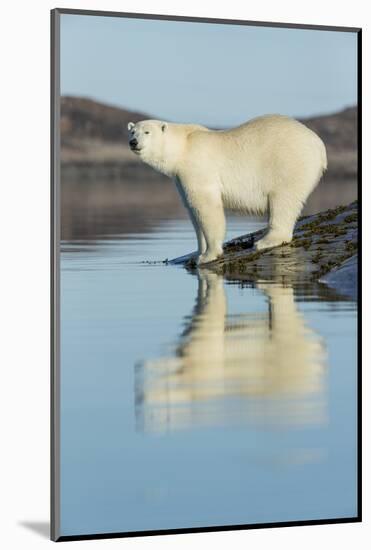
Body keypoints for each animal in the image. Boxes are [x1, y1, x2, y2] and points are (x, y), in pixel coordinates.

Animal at [129, 115, 328, 266]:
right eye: (132, 131)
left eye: (147, 132)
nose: (133, 142)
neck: (183, 147)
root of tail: (319, 144)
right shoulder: (179, 178)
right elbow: (193, 210)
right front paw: (197, 253)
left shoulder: (198, 167)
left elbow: (207, 207)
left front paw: (209, 255)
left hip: (289, 162)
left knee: (283, 199)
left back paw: (266, 241)